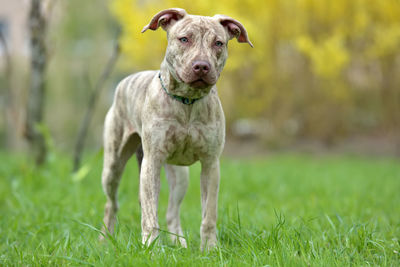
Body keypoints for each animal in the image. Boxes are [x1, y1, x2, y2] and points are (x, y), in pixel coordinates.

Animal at [100, 8, 252, 251]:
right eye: (184, 39)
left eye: (218, 43)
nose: (201, 66)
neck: (187, 101)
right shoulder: (152, 162)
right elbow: (150, 213)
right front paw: (150, 247)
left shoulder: (211, 164)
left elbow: (209, 213)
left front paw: (210, 248)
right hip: (113, 165)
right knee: (111, 204)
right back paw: (105, 239)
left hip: (180, 176)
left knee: (172, 211)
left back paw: (179, 242)